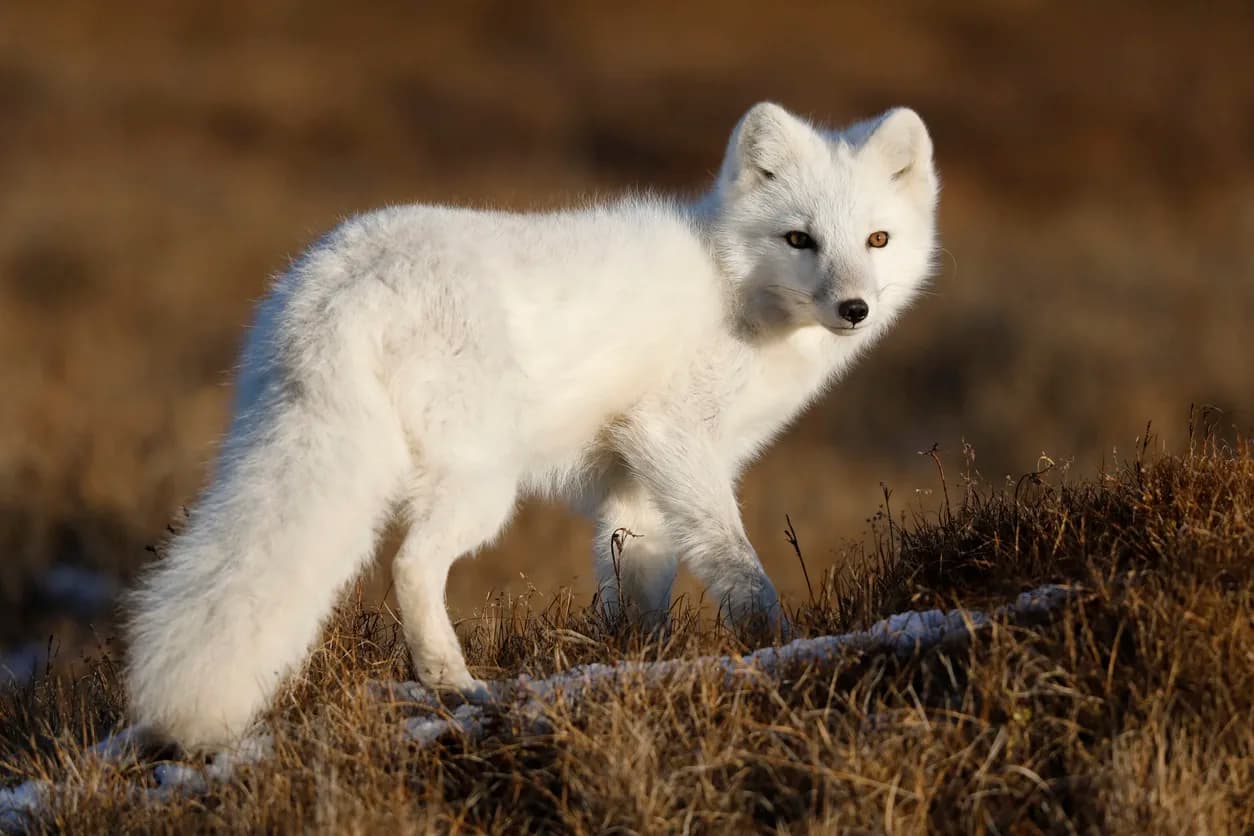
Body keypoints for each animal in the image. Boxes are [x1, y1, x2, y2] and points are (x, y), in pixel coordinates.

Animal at [125, 102, 939, 751]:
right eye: (800, 239)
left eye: (877, 240)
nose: (854, 310)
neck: (733, 291)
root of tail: (338, 290)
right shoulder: (672, 436)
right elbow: (739, 565)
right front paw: (773, 643)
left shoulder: (634, 483)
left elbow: (637, 587)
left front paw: (635, 662)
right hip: (487, 484)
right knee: (411, 564)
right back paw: (453, 684)